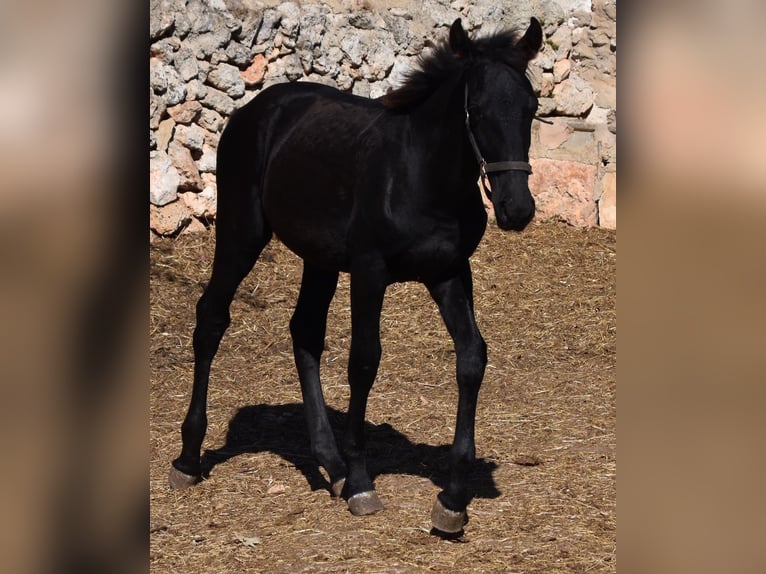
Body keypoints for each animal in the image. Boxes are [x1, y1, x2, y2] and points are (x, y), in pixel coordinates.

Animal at [172, 15, 544, 536]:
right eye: (479, 110)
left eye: (531, 108)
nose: (517, 209)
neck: (424, 177)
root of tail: (256, 109)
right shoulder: (370, 271)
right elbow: (364, 361)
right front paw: (364, 483)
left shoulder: (450, 272)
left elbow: (472, 357)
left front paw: (452, 499)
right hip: (241, 234)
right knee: (211, 317)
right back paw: (189, 459)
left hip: (320, 258)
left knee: (304, 331)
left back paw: (331, 465)